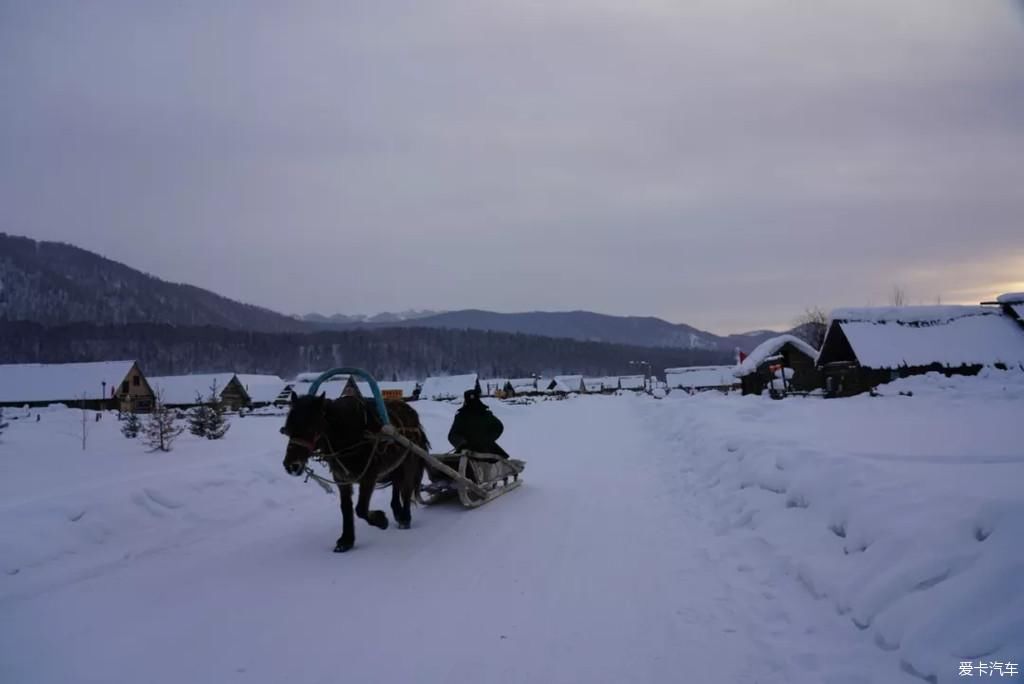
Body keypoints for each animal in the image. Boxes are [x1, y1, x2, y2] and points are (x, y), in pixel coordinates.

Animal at [280, 389, 428, 548]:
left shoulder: (369, 476)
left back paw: (405, 517)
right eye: (288, 429)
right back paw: (397, 511)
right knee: (396, 484)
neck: (349, 433)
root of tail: (412, 413)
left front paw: (380, 520)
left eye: (311, 428)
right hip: (396, 464)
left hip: (409, 461)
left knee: (406, 489)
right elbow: (346, 507)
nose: (291, 466)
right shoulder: (341, 478)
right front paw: (346, 540)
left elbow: (361, 509)